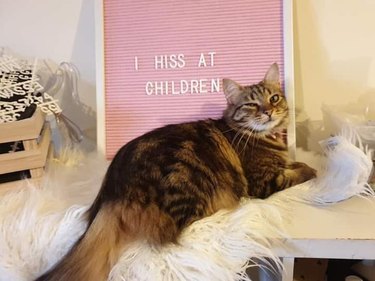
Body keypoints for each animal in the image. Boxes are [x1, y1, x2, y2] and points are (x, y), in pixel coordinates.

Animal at [36, 63, 318, 280]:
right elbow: (298, 171)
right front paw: (312, 169)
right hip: (192, 182)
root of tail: (115, 187)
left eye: (274, 98)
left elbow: (292, 164)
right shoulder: (263, 182)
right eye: (251, 104)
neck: (264, 136)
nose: (269, 112)